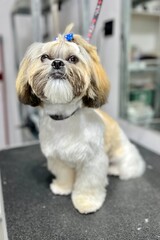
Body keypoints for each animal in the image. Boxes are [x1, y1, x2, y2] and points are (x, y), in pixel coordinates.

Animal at [15, 25, 145, 214]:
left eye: (73, 59)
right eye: (45, 57)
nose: (57, 62)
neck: (64, 119)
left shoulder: (93, 161)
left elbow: (88, 184)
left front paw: (86, 202)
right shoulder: (57, 157)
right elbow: (64, 174)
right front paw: (62, 187)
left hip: (123, 156)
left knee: (128, 167)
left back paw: (116, 169)